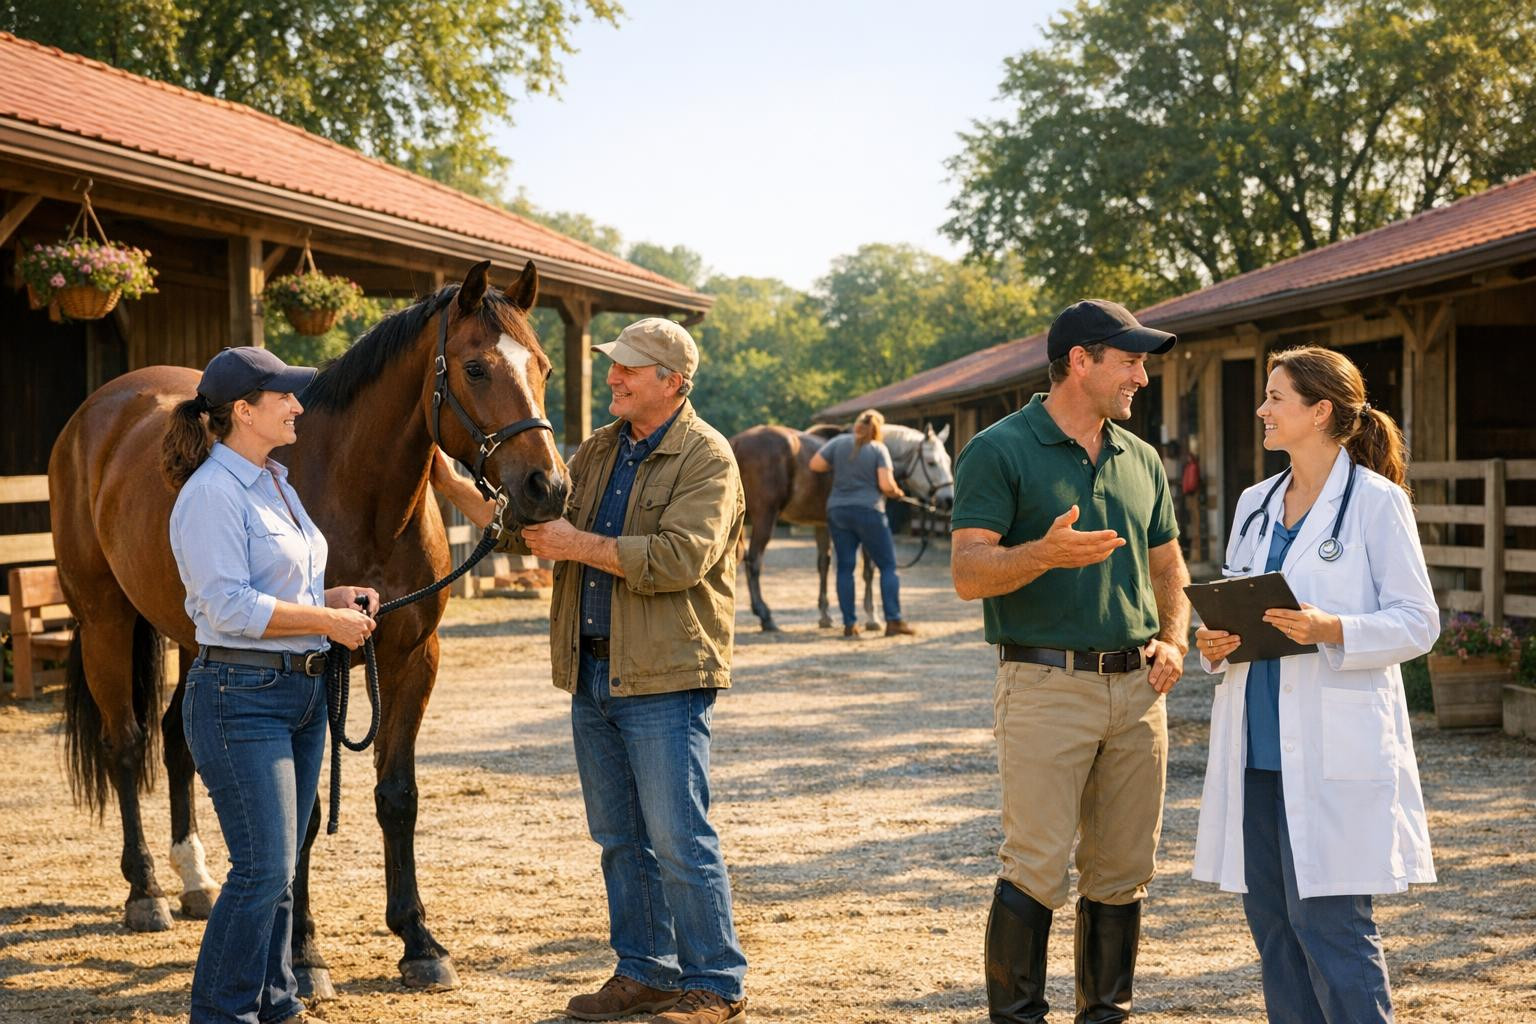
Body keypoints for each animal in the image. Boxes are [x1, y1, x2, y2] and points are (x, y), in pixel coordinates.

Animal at [47, 259, 568, 996]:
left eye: (544, 367)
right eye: (475, 368)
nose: (546, 488)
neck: (360, 494)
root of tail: (99, 413)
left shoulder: (411, 657)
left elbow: (397, 796)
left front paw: (419, 942)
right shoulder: (320, 666)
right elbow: (305, 811)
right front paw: (304, 953)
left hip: (194, 635)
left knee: (176, 739)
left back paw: (196, 881)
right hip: (104, 620)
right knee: (126, 744)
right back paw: (145, 892)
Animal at [730, 421, 953, 632]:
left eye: (948, 461)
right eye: (931, 463)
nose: (948, 499)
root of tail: (737, 442)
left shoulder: (822, 525)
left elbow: (824, 564)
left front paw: (825, 615)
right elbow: (868, 569)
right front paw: (873, 617)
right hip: (765, 518)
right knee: (754, 561)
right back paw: (765, 616)